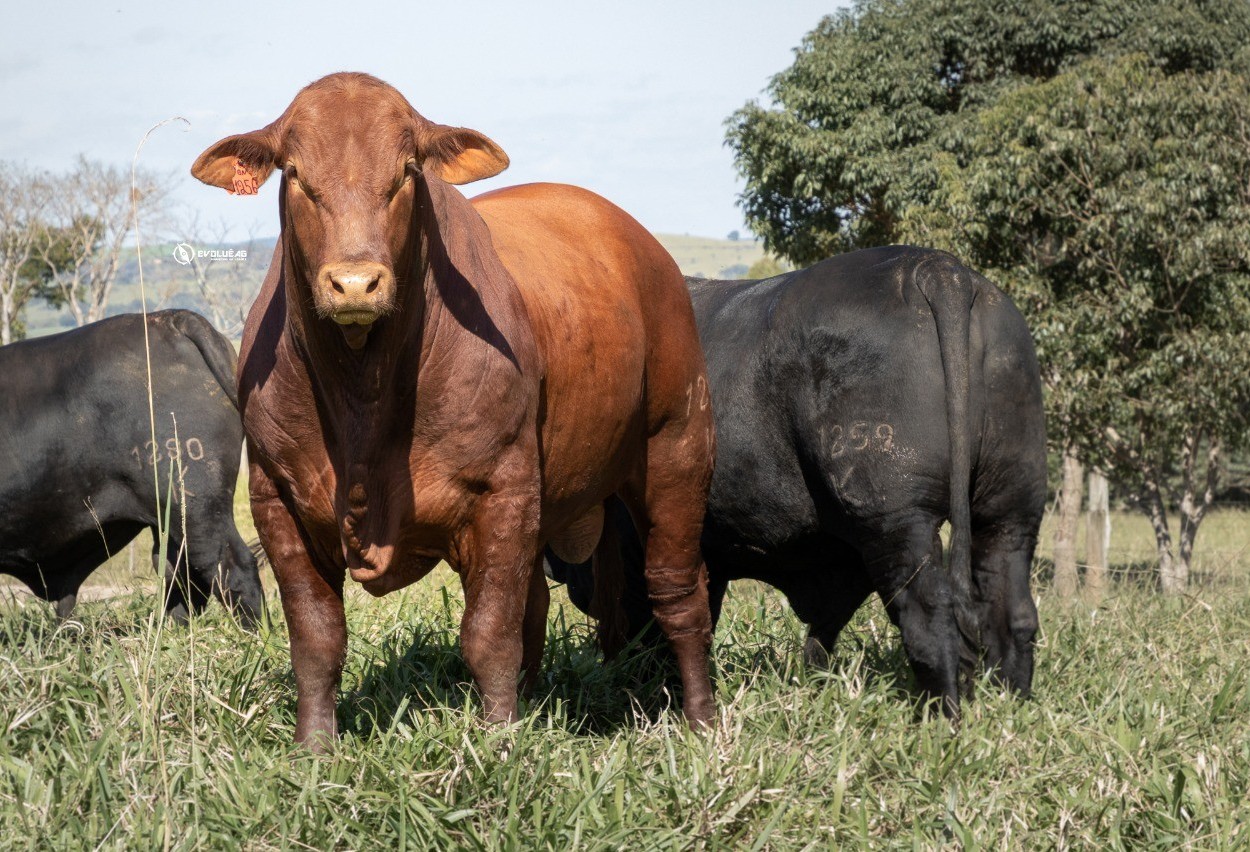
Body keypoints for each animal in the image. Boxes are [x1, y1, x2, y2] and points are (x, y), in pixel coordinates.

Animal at [552, 246, 1050, 714]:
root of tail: (934, 267)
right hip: (1010, 509)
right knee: (1013, 610)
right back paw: (1014, 707)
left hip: (899, 519)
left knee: (930, 615)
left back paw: (943, 718)